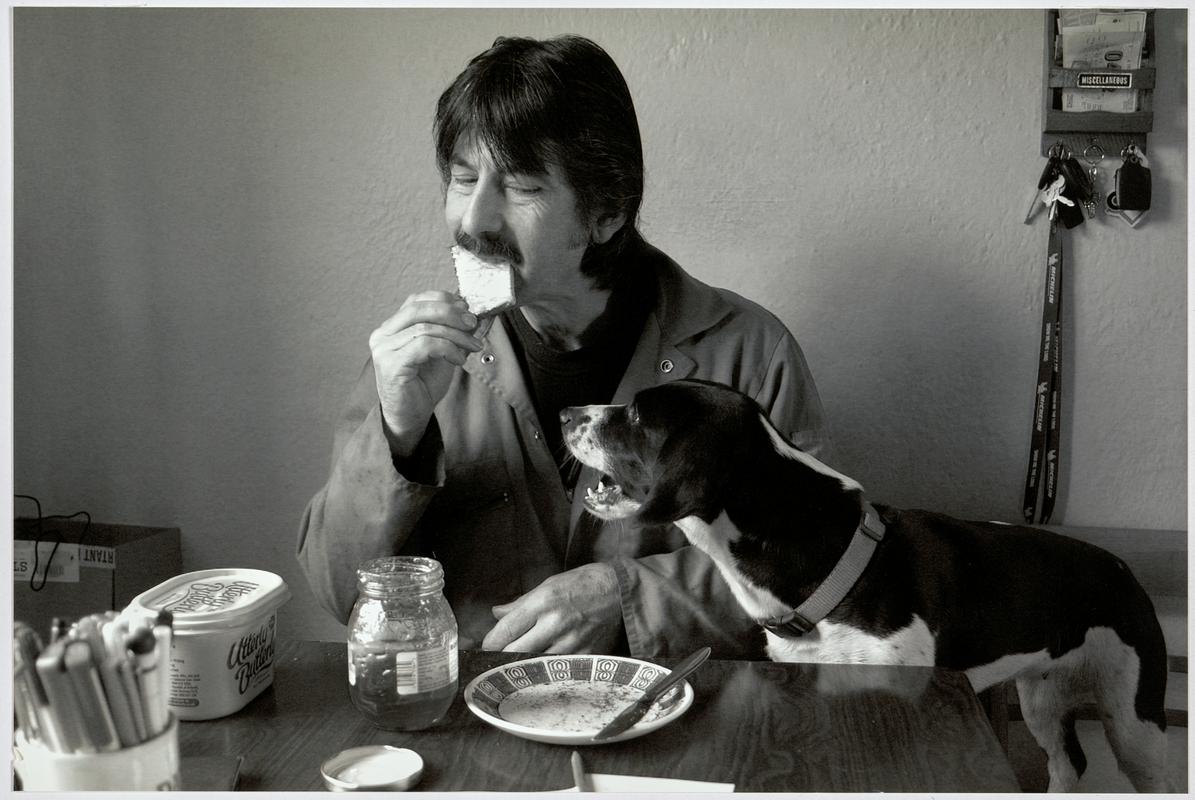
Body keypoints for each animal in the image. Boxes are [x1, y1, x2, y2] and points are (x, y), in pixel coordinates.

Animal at [564, 380, 1171, 794]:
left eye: (637, 413)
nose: (566, 410)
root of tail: (1122, 568)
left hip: (1134, 721)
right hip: (1044, 696)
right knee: (1069, 763)